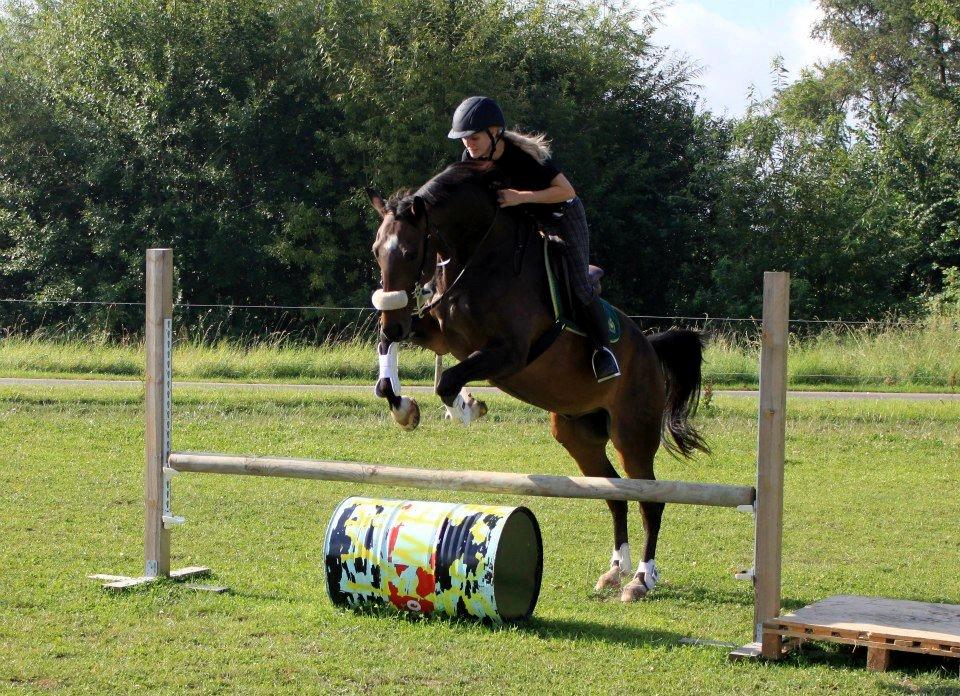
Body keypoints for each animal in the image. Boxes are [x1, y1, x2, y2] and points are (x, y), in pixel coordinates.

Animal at [364, 160, 708, 600]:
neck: (477, 257)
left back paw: (641, 579)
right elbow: (390, 354)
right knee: (615, 495)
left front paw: (468, 407)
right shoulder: (441, 333)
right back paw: (615, 570)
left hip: (633, 432)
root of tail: (649, 347)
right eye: (377, 251)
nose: (392, 318)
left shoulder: (509, 353)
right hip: (578, 435)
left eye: (409, 252)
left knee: (650, 500)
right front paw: (403, 407)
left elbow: (448, 382)